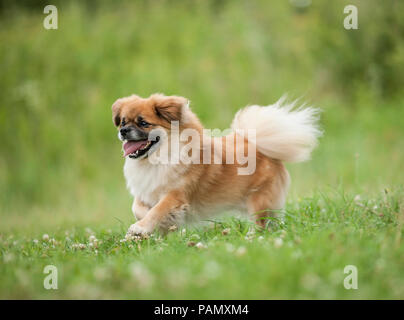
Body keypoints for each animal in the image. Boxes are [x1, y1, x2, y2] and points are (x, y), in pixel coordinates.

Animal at [112, 92, 320, 235]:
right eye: (123, 122)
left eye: (143, 123)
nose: (124, 130)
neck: (157, 159)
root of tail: (260, 146)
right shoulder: (146, 192)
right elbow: (139, 208)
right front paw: (149, 225)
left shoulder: (176, 196)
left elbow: (157, 211)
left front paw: (139, 228)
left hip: (259, 201)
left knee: (262, 223)